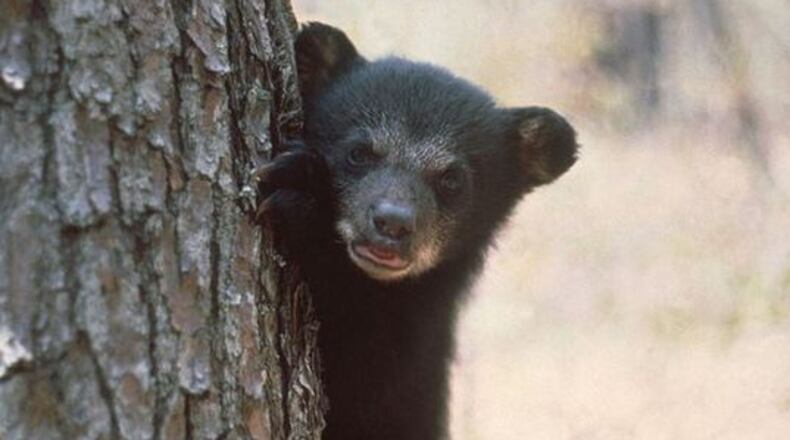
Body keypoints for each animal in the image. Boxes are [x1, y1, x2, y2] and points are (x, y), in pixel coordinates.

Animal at [256, 22, 579, 440]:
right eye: (359, 152)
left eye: (452, 179)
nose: (392, 222)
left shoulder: (411, 362)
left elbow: (369, 380)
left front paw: (301, 196)